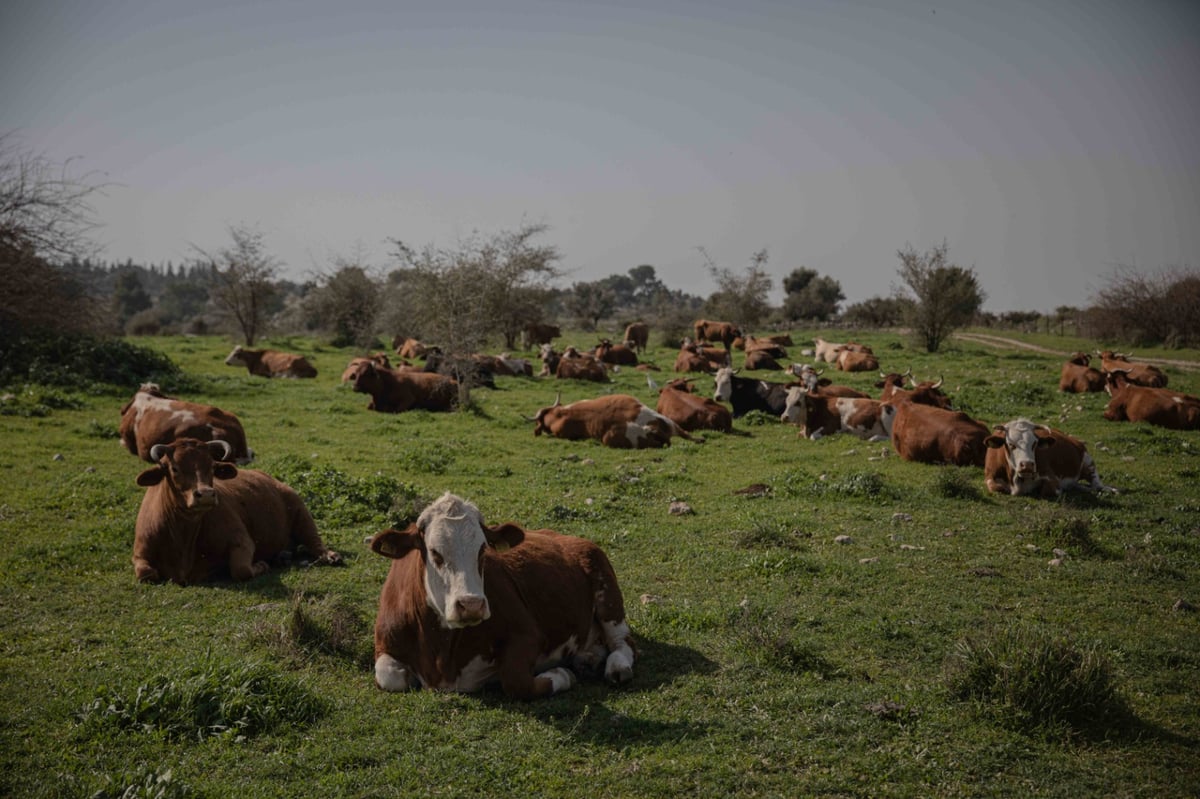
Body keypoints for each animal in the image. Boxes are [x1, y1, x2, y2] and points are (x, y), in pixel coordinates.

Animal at [979, 417, 1108, 499]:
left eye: (1034, 444)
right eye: (1011, 444)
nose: (1027, 465)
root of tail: (1075, 441)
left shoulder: (1052, 478)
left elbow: (1048, 490)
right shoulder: (989, 476)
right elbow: (996, 487)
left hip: (1088, 462)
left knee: (1097, 484)